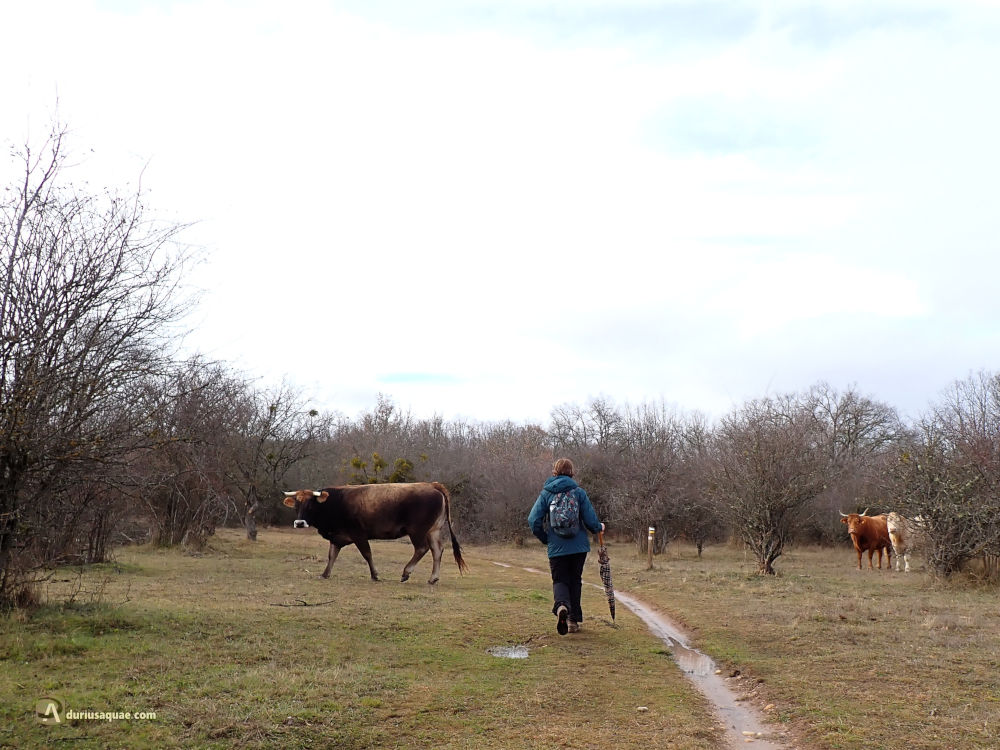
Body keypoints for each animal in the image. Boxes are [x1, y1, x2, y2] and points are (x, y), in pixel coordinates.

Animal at [283, 481, 468, 584]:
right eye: (297, 505)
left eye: (310, 505)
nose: (299, 523)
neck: (334, 502)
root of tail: (432, 485)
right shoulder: (336, 537)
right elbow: (332, 556)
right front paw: (325, 574)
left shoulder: (359, 534)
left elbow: (367, 554)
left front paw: (375, 575)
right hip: (433, 531)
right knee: (437, 550)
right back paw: (433, 578)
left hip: (417, 531)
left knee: (422, 549)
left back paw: (406, 572)